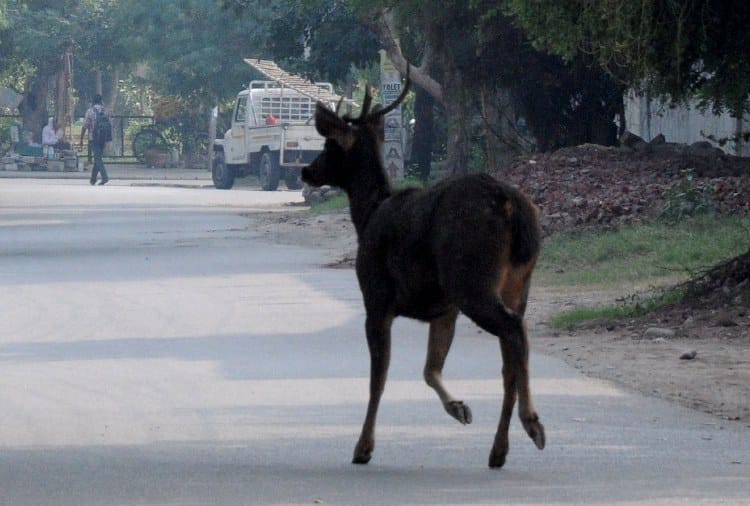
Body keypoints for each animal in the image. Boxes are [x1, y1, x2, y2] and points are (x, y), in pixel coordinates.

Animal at [300, 70, 545, 469]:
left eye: (330, 145)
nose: (306, 169)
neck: (367, 215)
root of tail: (513, 207)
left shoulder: (376, 298)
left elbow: (379, 377)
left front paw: (363, 447)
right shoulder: (443, 309)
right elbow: (431, 368)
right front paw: (460, 408)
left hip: (470, 277)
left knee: (513, 330)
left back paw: (532, 424)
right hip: (517, 282)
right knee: (510, 355)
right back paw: (499, 449)